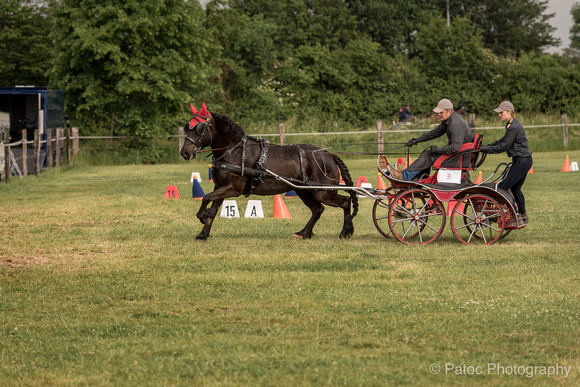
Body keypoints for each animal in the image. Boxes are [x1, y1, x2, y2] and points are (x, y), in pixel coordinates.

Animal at [179, 103, 358, 242]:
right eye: (188, 127)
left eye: (200, 127)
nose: (185, 152)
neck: (234, 150)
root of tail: (328, 154)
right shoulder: (220, 186)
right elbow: (213, 206)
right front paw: (203, 233)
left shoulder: (234, 188)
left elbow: (206, 198)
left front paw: (203, 217)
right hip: (304, 191)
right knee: (318, 210)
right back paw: (303, 233)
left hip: (322, 192)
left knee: (345, 202)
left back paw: (345, 231)